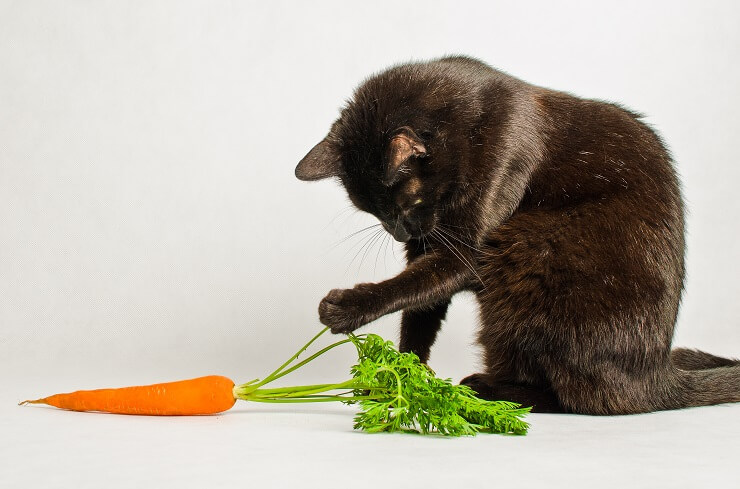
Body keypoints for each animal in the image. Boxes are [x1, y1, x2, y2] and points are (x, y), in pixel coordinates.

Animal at [292, 55, 736, 414]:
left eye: (408, 204)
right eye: (375, 214)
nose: (402, 234)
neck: (466, 126)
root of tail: (656, 376)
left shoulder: (483, 207)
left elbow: (415, 284)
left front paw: (347, 308)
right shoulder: (432, 245)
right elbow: (420, 306)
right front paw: (402, 376)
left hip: (529, 246)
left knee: (581, 398)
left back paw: (488, 390)